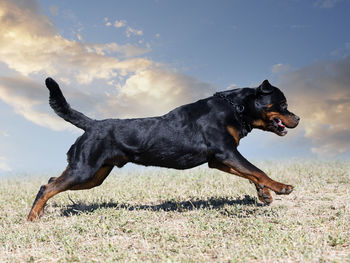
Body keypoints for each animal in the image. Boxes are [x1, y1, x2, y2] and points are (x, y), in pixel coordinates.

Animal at [27, 78, 300, 221]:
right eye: (283, 104)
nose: (298, 118)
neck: (236, 109)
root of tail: (92, 124)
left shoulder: (219, 159)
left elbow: (251, 173)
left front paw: (265, 194)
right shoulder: (226, 152)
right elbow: (257, 170)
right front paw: (281, 187)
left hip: (94, 175)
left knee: (50, 182)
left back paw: (38, 214)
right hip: (84, 169)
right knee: (46, 187)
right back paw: (32, 218)